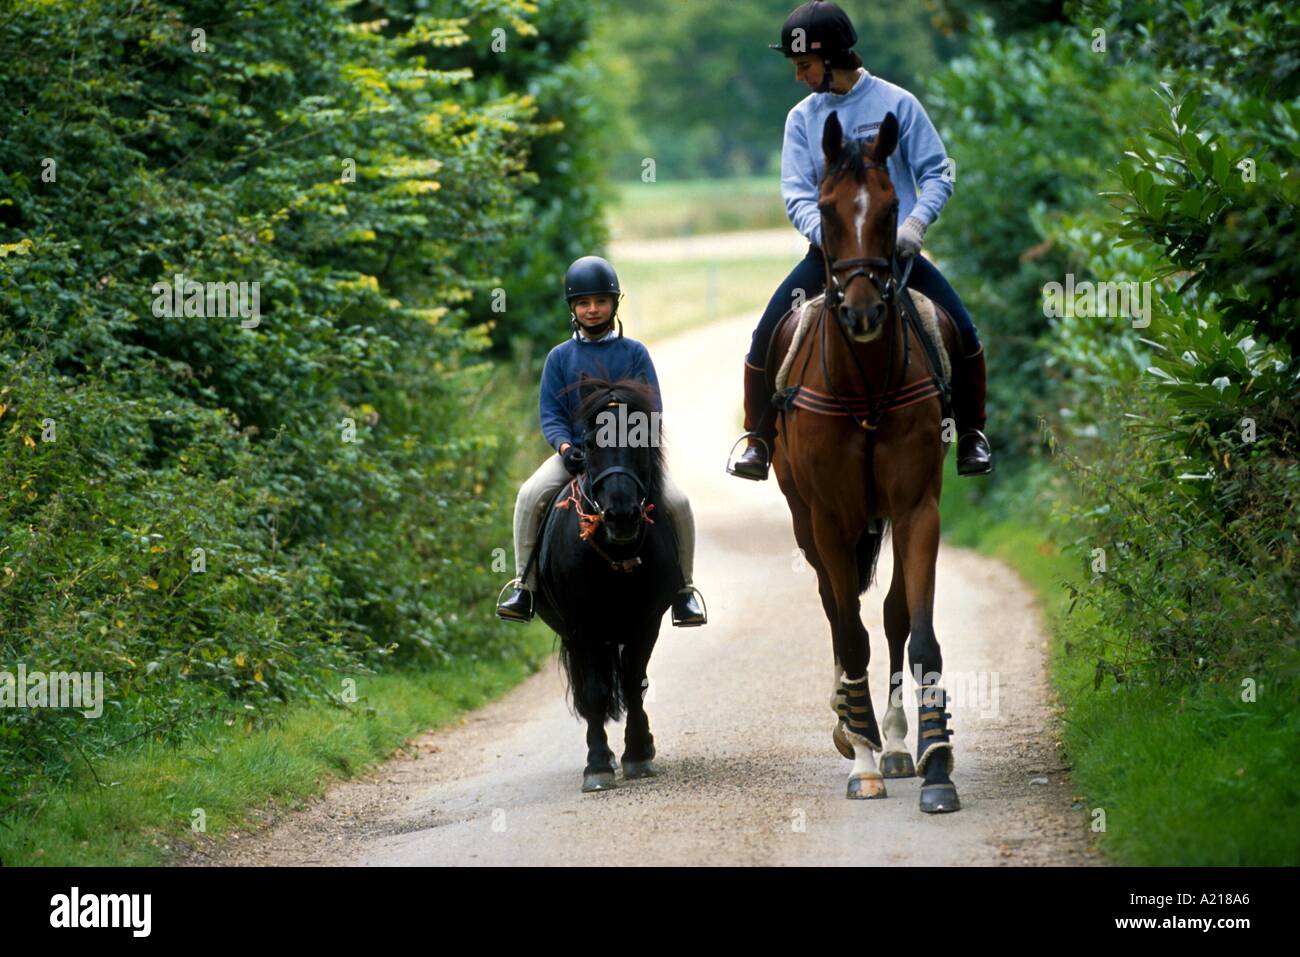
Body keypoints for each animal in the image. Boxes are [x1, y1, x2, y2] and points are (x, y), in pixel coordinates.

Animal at [533, 376, 680, 793]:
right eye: (590, 442)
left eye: (642, 438)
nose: (621, 515)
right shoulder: (581, 628)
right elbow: (596, 692)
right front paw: (597, 765)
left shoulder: (646, 622)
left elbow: (633, 683)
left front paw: (638, 754)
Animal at [768, 110, 963, 813]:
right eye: (825, 208)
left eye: (890, 208)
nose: (861, 312)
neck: (865, 385)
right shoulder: (828, 518)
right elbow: (848, 631)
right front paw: (863, 762)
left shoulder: (915, 508)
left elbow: (915, 628)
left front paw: (934, 761)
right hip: (808, 522)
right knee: (836, 608)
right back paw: (852, 729)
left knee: (885, 614)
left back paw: (896, 741)